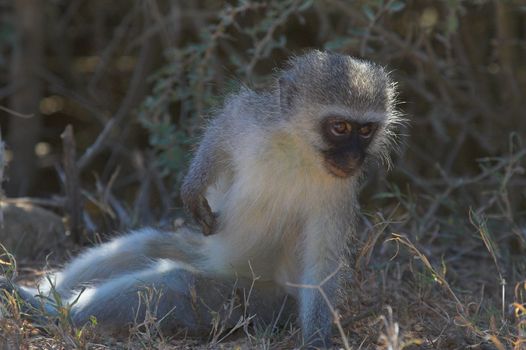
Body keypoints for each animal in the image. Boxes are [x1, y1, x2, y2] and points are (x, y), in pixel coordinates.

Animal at [1, 50, 404, 348]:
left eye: (365, 131)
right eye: (340, 127)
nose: (353, 158)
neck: (302, 150)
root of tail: (217, 263)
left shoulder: (336, 197)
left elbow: (322, 266)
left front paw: (317, 338)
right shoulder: (253, 120)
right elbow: (222, 130)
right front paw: (193, 188)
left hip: (252, 299)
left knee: (176, 283)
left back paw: (51, 311)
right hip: (198, 247)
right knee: (139, 247)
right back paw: (38, 293)